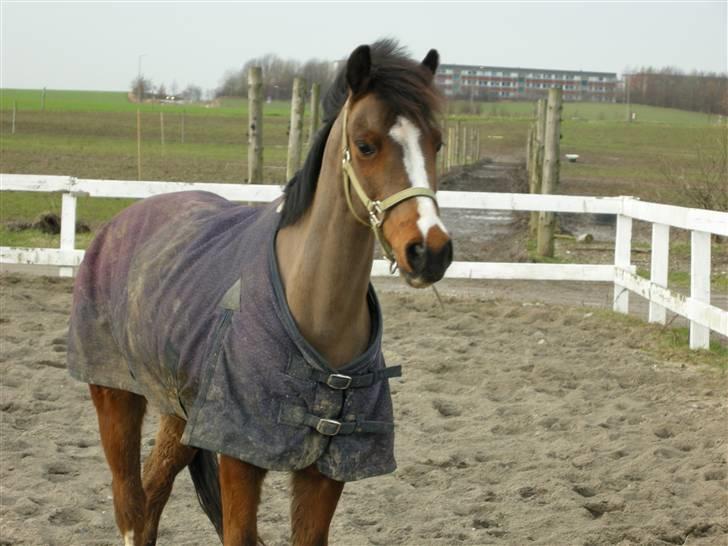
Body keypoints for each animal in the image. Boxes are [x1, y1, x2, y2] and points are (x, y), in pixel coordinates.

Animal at [67, 39, 452, 546]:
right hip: (116, 397)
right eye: (366, 145)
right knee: (130, 506)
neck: (312, 315)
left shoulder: (325, 471)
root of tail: (121, 220)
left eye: (436, 142)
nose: (430, 250)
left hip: (178, 412)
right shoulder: (240, 458)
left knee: (152, 495)